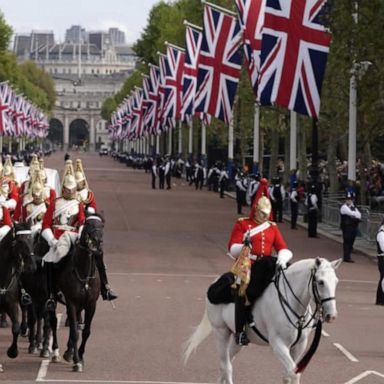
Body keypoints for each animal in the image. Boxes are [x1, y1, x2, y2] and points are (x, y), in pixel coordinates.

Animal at [57, 214, 102, 370]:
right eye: (88, 224)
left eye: (102, 226)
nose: (96, 241)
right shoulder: (71, 303)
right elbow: (75, 332)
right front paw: (76, 360)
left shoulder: (91, 305)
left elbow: (86, 331)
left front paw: (80, 356)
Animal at [184, 258, 342, 384]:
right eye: (320, 282)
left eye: (336, 282)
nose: (332, 315)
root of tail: (215, 282)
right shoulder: (278, 344)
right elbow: (293, 373)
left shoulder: (299, 345)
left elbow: (289, 375)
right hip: (220, 332)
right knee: (226, 366)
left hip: (237, 339)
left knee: (227, 361)